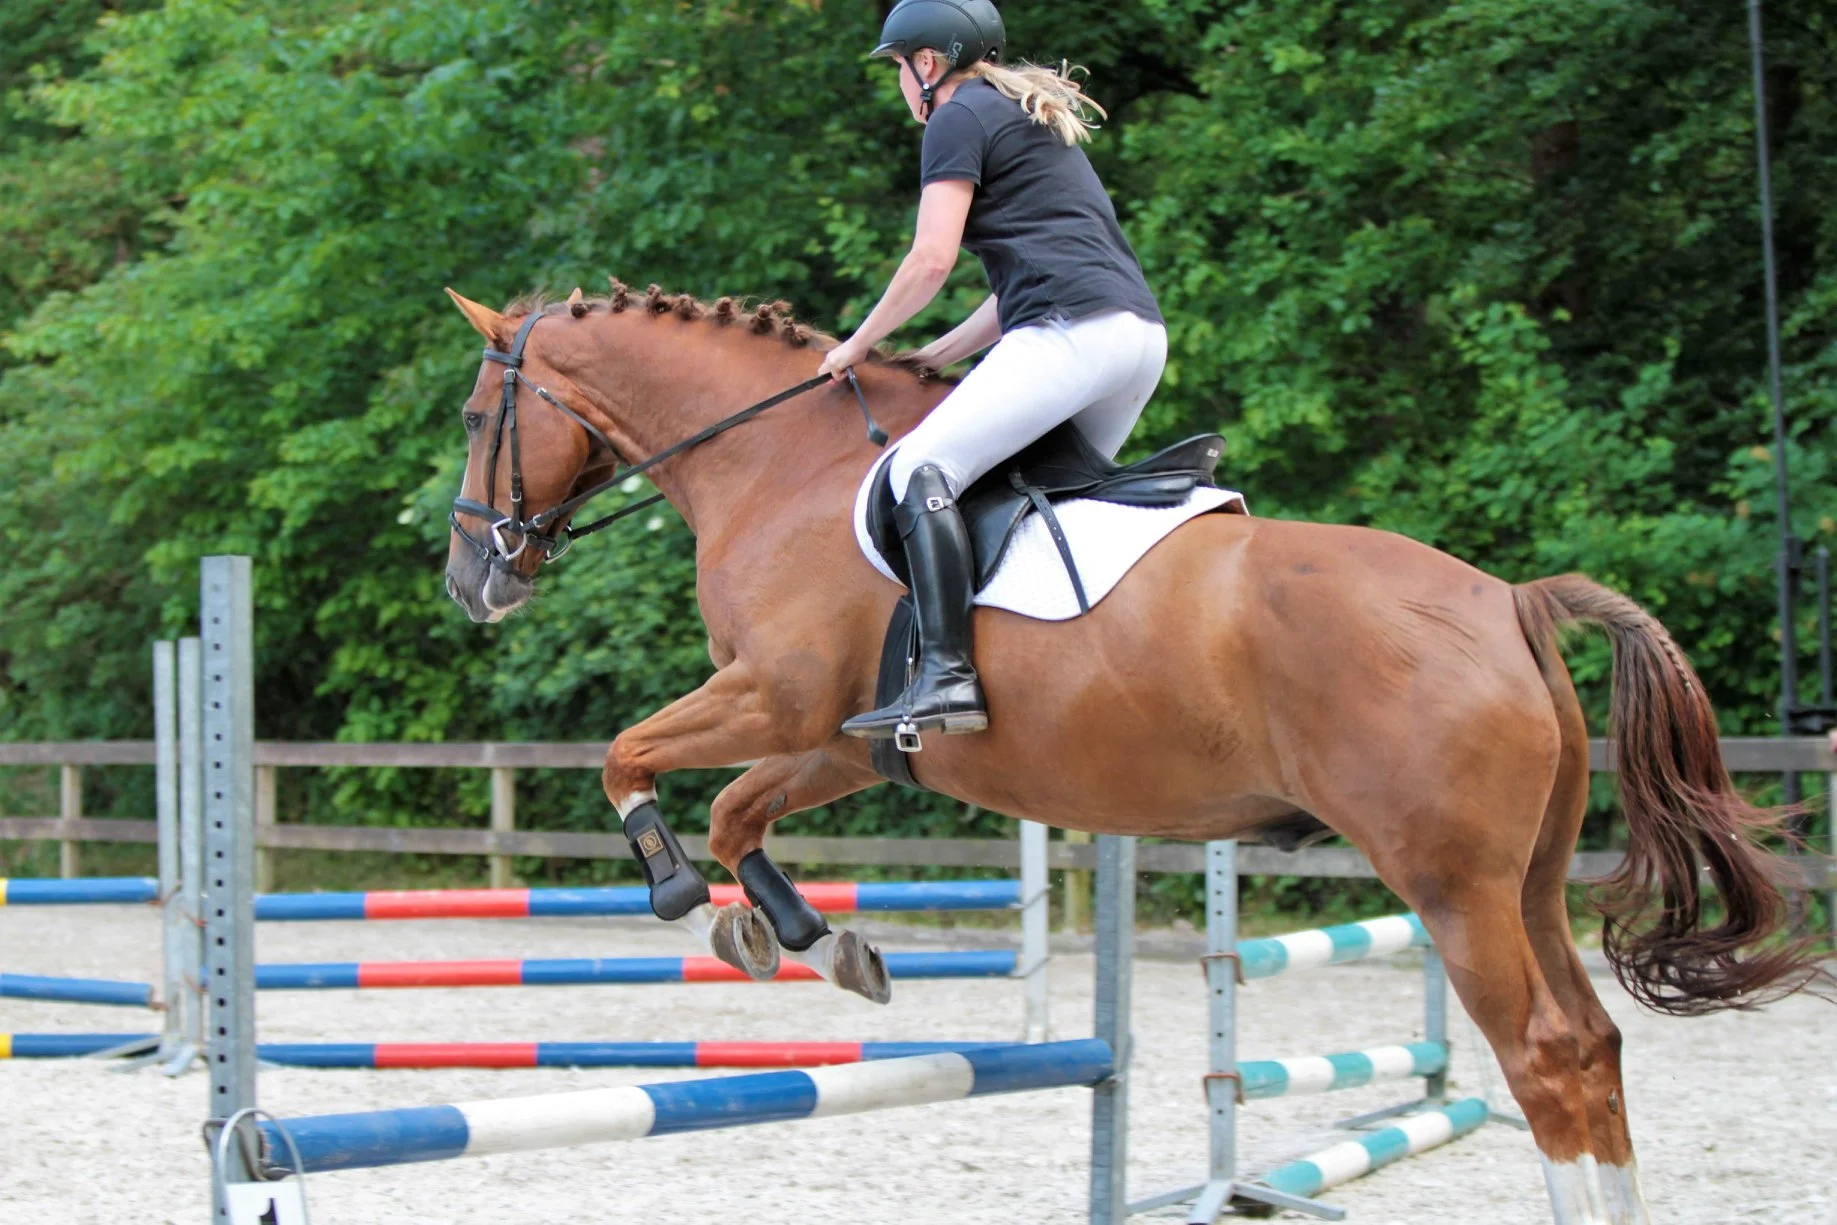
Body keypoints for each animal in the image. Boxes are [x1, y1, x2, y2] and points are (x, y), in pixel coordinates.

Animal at [440, 282, 1826, 1225]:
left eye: (472, 414)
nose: (470, 579)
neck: (778, 465)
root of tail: (1509, 603)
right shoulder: (843, 743)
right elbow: (737, 812)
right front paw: (806, 939)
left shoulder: (773, 699)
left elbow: (628, 757)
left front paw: (683, 893)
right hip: (1527, 880)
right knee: (1591, 1046)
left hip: (1451, 886)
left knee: (1543, 1058)